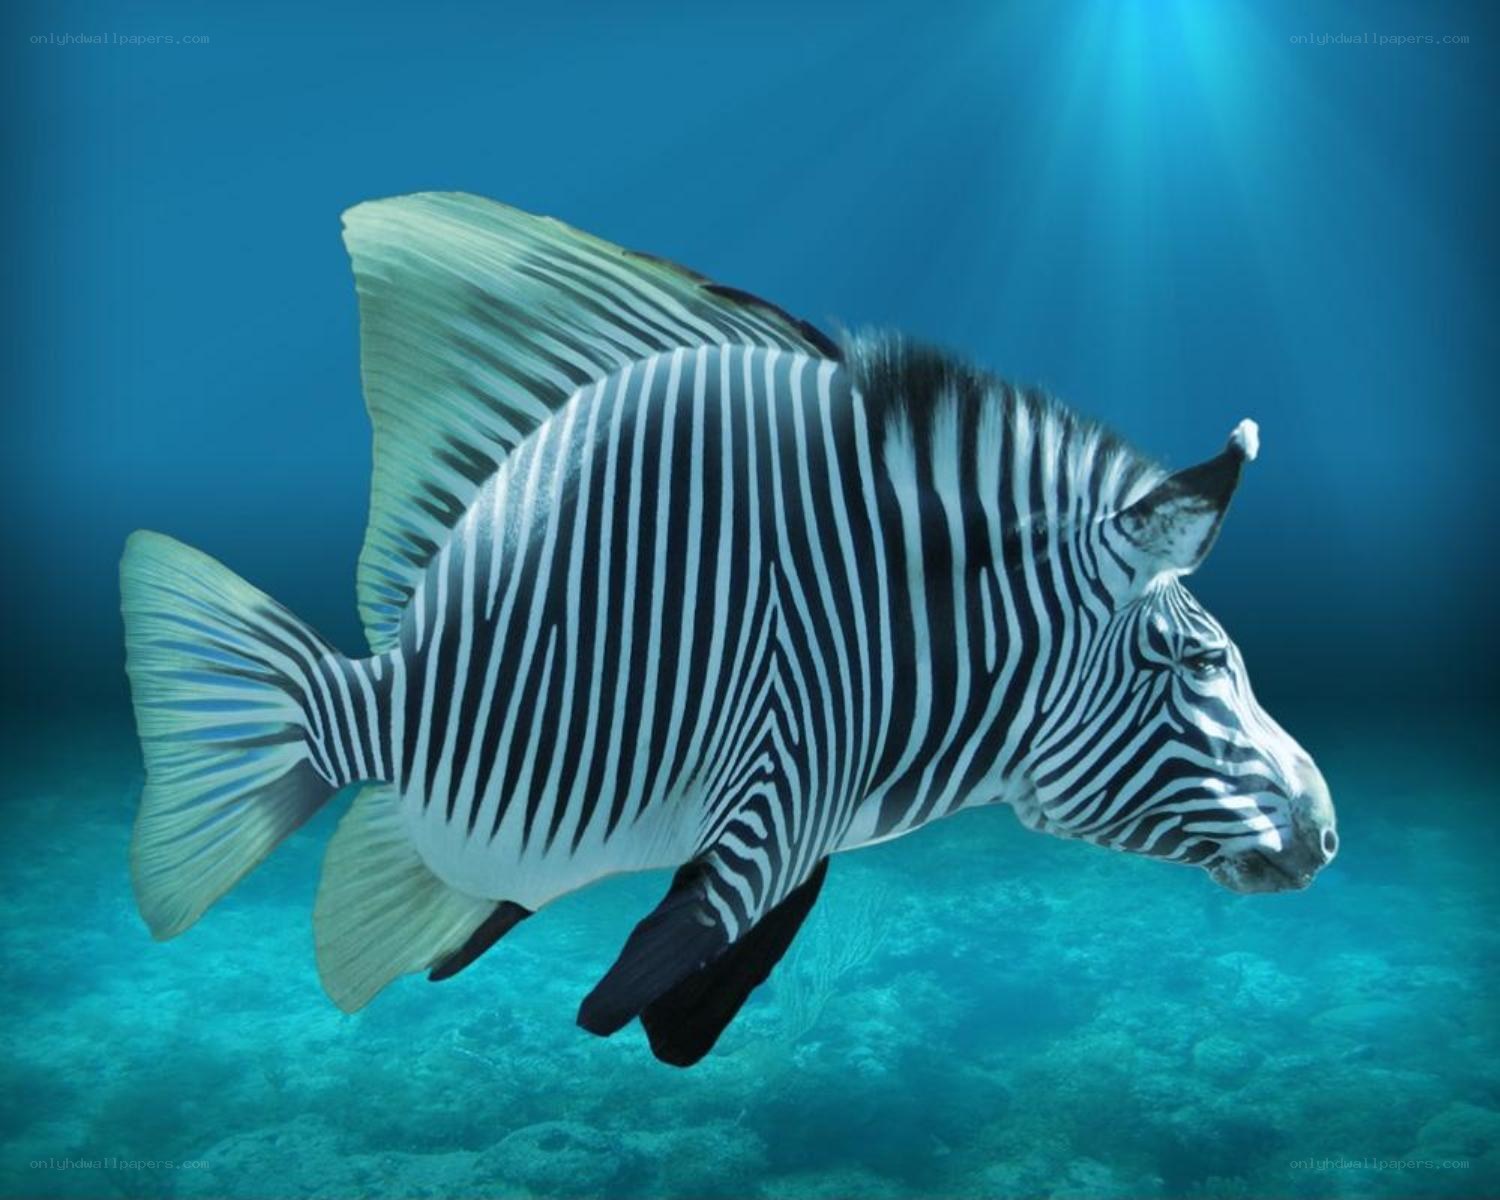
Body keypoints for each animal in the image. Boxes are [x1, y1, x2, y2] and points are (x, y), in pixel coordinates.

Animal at [121, 193, 1337, 1067]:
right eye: (1198, 660)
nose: (1329, 834)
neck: (931, 639)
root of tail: (350, 695)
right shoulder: (787, 784)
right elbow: (682, 961)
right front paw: (639, 1016)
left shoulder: (795, 810)